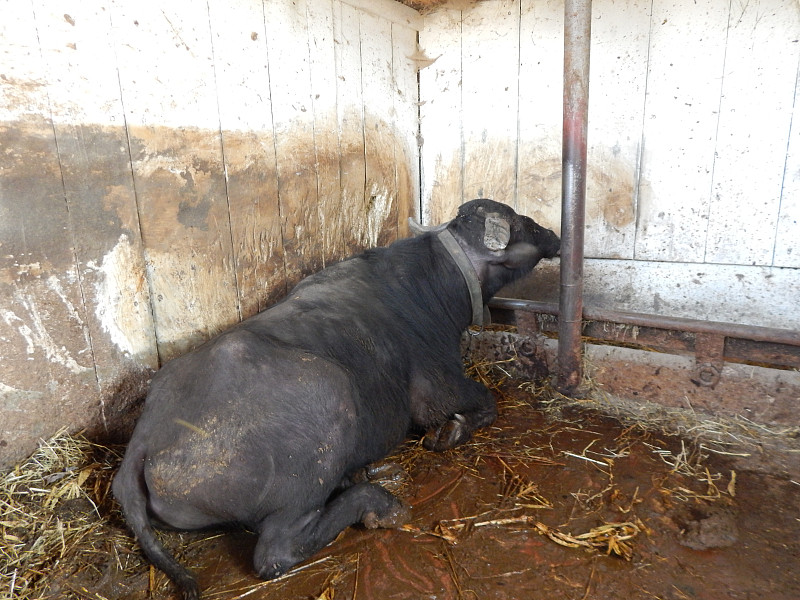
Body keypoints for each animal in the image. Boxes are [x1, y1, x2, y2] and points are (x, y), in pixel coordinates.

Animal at [114, 199, 564, 596]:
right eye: (522, 222)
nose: (555, 234)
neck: (432, 285)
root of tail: (144, 440)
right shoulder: (438, 384)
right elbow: (485, 403)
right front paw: (450, 434)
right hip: (331, 400)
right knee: (276, 550)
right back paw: (378, 503)